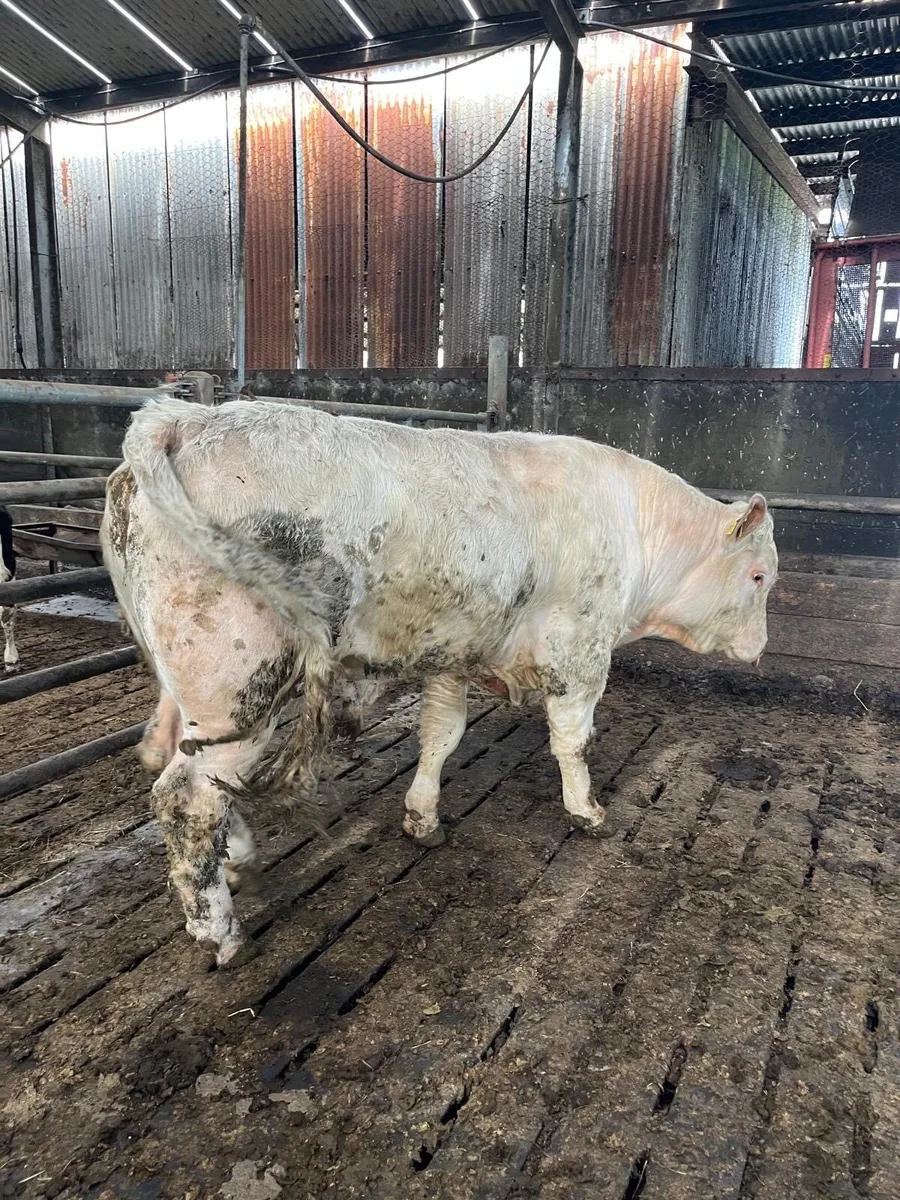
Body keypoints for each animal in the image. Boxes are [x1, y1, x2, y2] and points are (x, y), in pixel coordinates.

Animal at [103, 397, 777, 966]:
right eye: (760, 576)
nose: (761, 650)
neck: (635, 525)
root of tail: (181, 417)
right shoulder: (579, 653)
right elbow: (572, 742)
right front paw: (586, 811)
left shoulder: (453, 654)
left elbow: (440, 736)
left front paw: (422, 817)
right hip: (240, 687)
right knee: (187, 797)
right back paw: (219, 933)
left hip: (192, 697)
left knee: (181, 764)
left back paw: (238, 859)